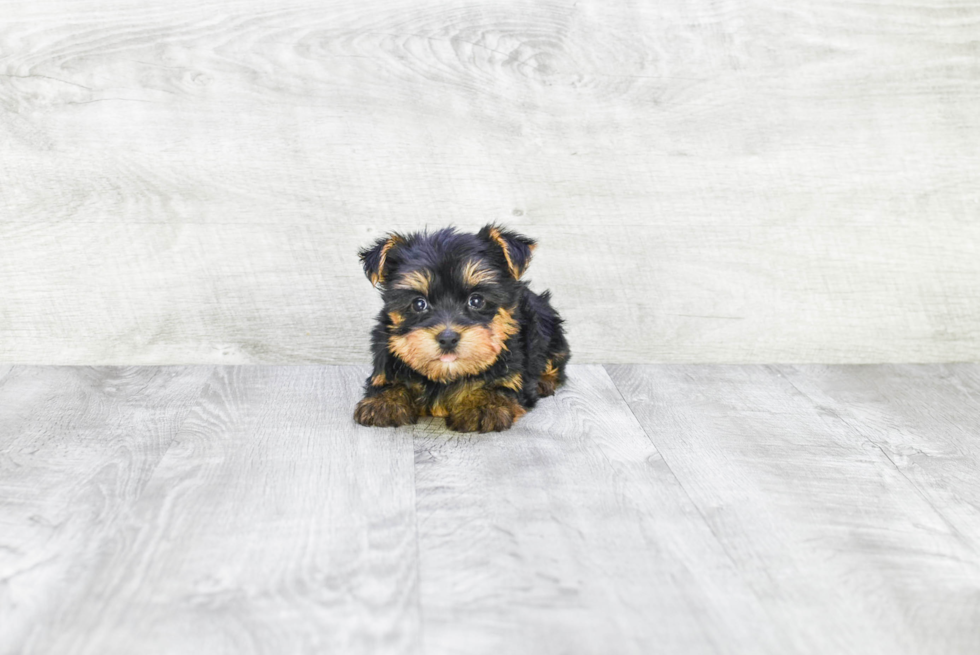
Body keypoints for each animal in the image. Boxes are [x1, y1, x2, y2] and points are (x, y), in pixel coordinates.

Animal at [352, 223, 572, 434]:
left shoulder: (514, 373)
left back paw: (544, 381)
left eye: (476, 300)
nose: (448, 338)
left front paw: (481, 406)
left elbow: (499, 386)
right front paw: (385, 402)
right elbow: (387, 382)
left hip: (547, 327)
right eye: (418, 303)